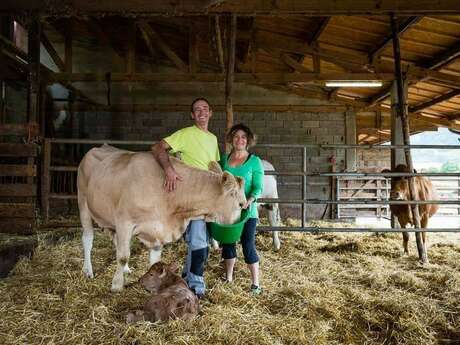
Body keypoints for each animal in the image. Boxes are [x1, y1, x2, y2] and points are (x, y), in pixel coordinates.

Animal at [77, 143, 246, 290]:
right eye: (241, 204)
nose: (237, 235)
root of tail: (100, 146)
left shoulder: (157, 229)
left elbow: (154, 260)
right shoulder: (124, 221)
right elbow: (123, 255)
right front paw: (117, 285)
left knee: (115, 240)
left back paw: (125, 270)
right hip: (83, 202)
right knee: (88, 239)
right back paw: (88, 270)